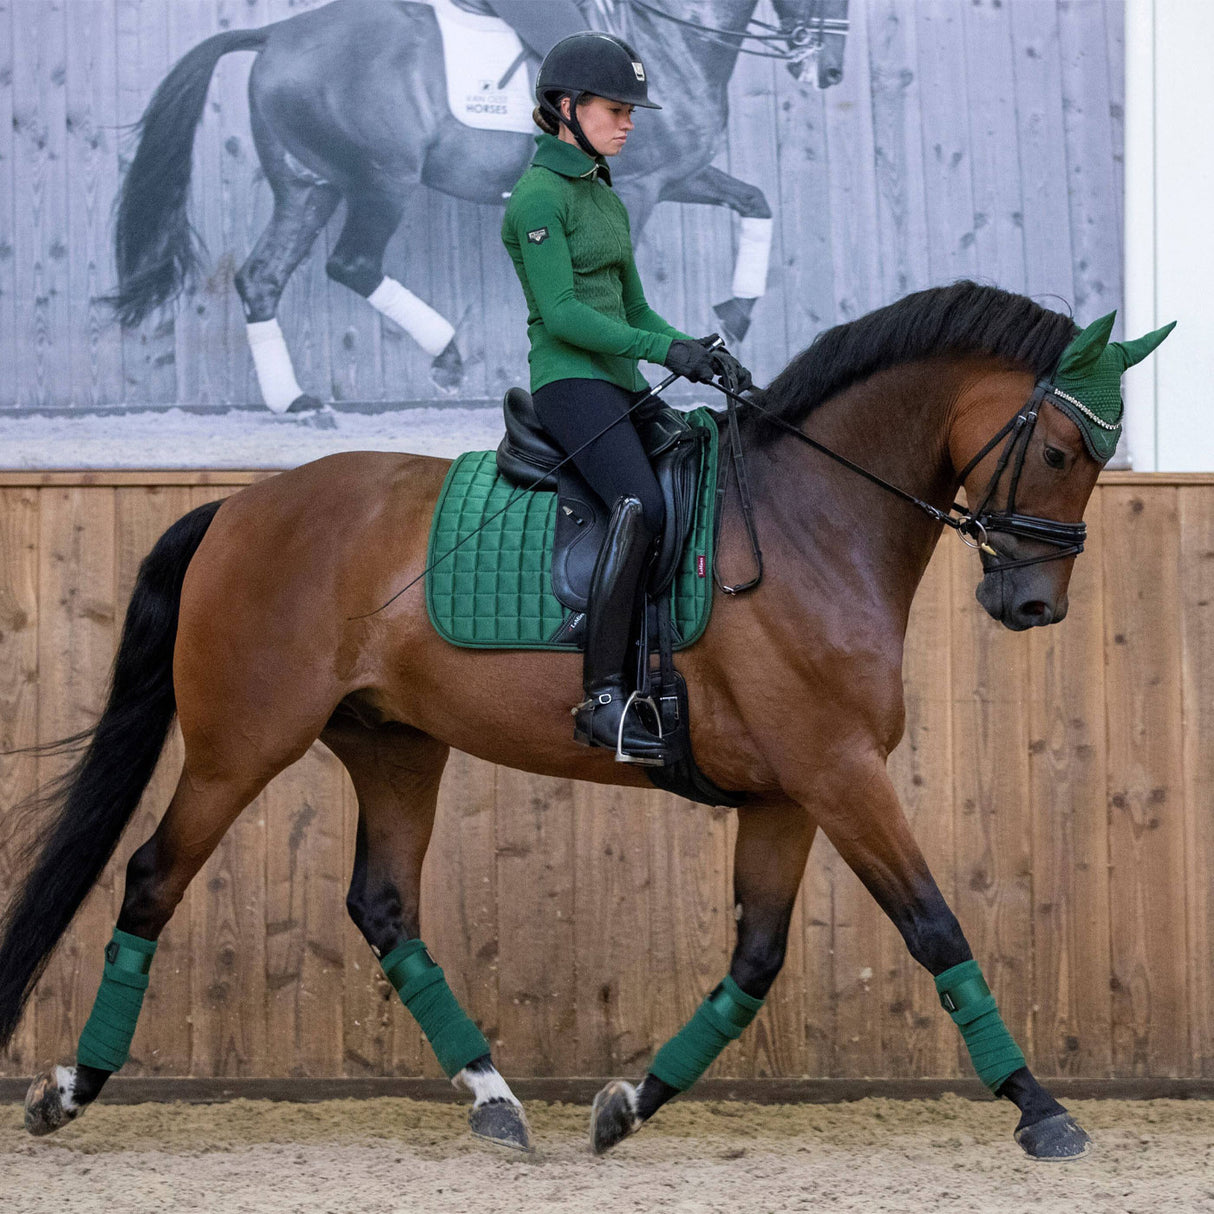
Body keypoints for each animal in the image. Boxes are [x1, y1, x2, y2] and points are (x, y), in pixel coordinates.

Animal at [2, 284, 1116, 1155]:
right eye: (1064, 450)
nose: (1032, 605)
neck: (810, 519)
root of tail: (235, 507)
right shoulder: (838, 771)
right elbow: (933, 925)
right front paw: (1039, 1108)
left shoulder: (787, 793)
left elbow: (754, 962)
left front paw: (629, 1103)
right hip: (240, 746)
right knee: (154, 878)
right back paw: (68, 1090)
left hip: (395, 746)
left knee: (383, 905)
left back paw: (494, 1100)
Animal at [109, 0, 844, 410]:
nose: (829, 70)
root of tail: (277, 36)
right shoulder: (641, 186)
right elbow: (611, 295)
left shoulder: (674, 175)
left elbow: (755, 200)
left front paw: (737, 312)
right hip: (383, 179)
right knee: (351, 263)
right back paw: (447, 358)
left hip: (308, 188)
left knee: (263, 278)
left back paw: (293, 401)